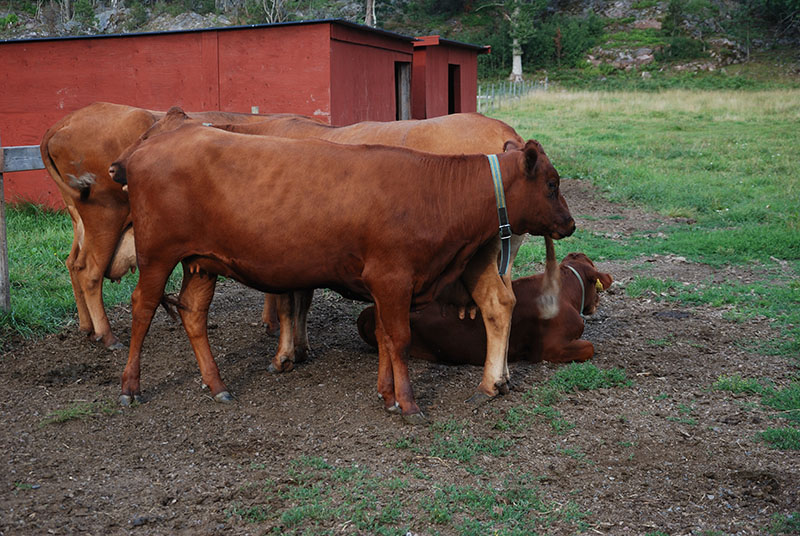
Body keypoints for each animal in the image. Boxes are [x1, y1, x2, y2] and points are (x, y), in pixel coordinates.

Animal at [111, 117, 576, 422]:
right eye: (552, 184)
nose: (571, 224)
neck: (432, 191)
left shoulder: (390, 284)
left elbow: (386, 336)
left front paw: (387, 395)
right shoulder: (391, 278)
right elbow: (398, 338)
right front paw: (408, 404)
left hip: (201, 263)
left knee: (192, 311)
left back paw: (217, 385)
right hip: (158, 255)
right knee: (143, 306)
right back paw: (130, 387)